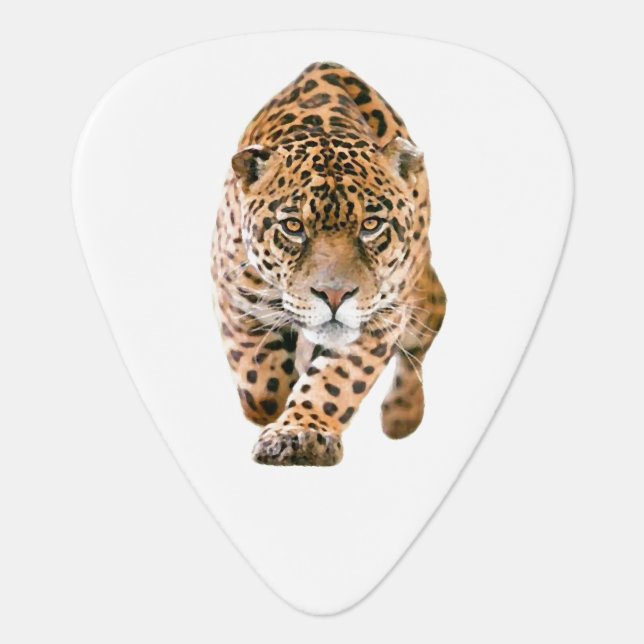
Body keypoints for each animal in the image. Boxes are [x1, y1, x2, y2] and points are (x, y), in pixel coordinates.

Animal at [211, 61, 446, 466]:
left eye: (371, 225)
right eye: (293, 226)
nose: (334, 296)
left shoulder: (382, 316)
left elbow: (336, 380)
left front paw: (301, 433)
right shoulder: (236, 295)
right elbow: (261, 386)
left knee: (425, 332)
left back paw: (402, 414)